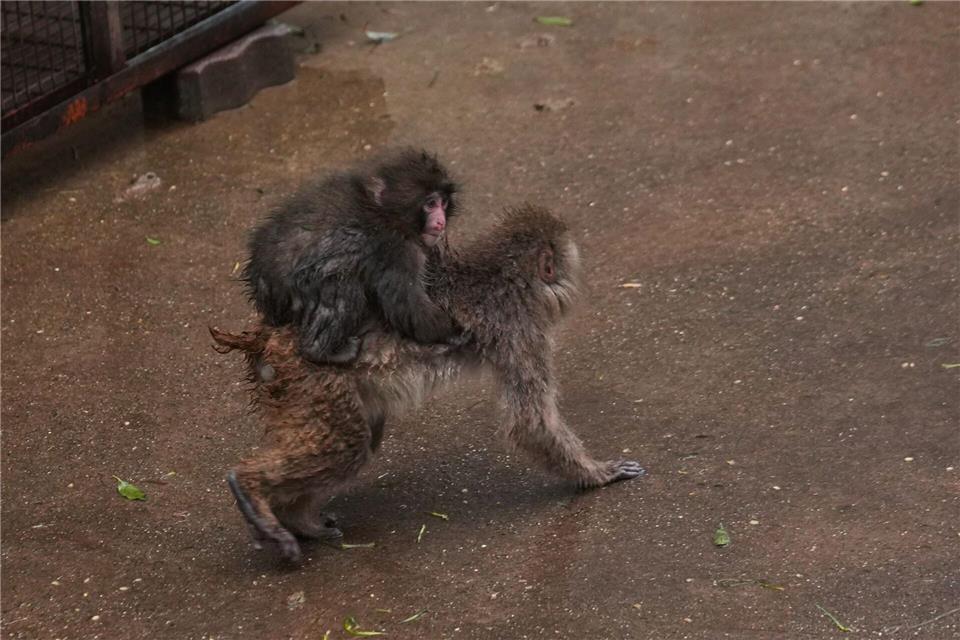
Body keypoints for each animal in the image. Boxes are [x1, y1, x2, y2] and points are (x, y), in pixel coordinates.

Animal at [212, 204, 645, 563]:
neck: (501, 277)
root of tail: (269, 336)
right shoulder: (519, 329)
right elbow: (531, 424)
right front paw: (596, 474)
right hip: (311, 380)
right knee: (348, 446)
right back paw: (251, 488)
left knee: (362, 437)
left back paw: (295, 517)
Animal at [242, 148, 462, 365]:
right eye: (431, 204)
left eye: (443, 203)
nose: (440, 221)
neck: (385, 212)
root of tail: (261, 281)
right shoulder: (397, 249)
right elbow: (407, 305)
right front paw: (452, 333)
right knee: (343, 286)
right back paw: (319, 351)